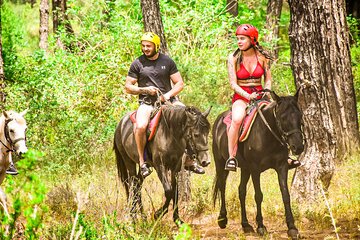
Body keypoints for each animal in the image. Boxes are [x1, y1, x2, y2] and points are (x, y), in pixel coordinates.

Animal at [212, 91, 306, 239]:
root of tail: (218, 121)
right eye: (283, 117)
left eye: (300, 115)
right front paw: (261, 226)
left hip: (245, 168)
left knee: (241, 191)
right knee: (222, 186)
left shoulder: (282, 167)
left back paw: (246, 225)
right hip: (220, 163)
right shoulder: (255, 169)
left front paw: (292, 228)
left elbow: (285, 195)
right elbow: (258, 196)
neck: (268, 134)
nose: (298, 147)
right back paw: (222, 219)